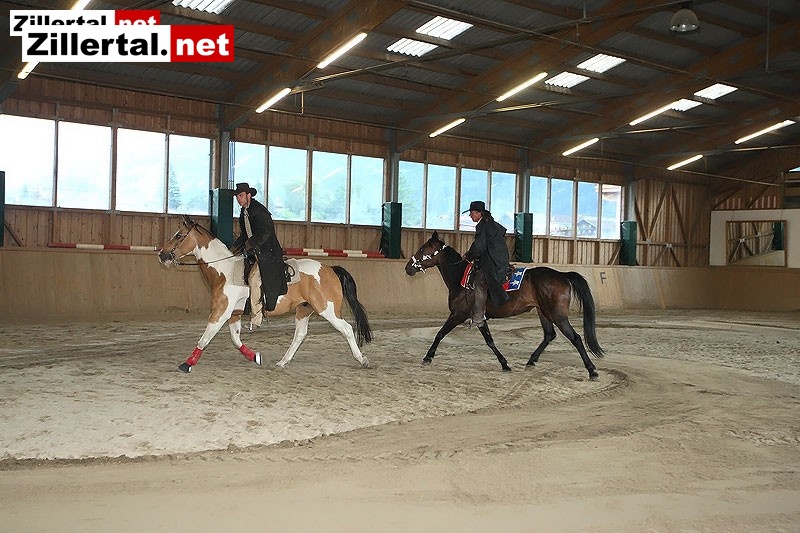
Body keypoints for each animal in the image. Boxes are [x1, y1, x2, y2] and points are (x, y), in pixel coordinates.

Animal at [158, 215, 372, 373]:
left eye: (179, 235)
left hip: (327, 309)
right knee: (300, 334)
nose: (162, 255)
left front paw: (187, 364)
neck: (224, 271)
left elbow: (204, 338)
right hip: (304, 310)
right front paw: (255, 357)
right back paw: (282, 362)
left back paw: (362, 359)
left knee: (346, 329)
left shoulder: (220, 313)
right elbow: (236, 340)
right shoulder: (233, 315)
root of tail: (329, 269)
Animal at [404, 231, 604, 379]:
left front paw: (428, 356)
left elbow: (440, 334)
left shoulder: (458, 314)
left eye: (423, 248)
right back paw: (531, 361)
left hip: (557, 315)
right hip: (544, 313)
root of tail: (562, 275)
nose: (407, 268)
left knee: (575, 338)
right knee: (549, 335)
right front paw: (505, 364)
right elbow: (489, 341)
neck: (461, 278)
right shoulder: (479, 317)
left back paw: (592, 370)